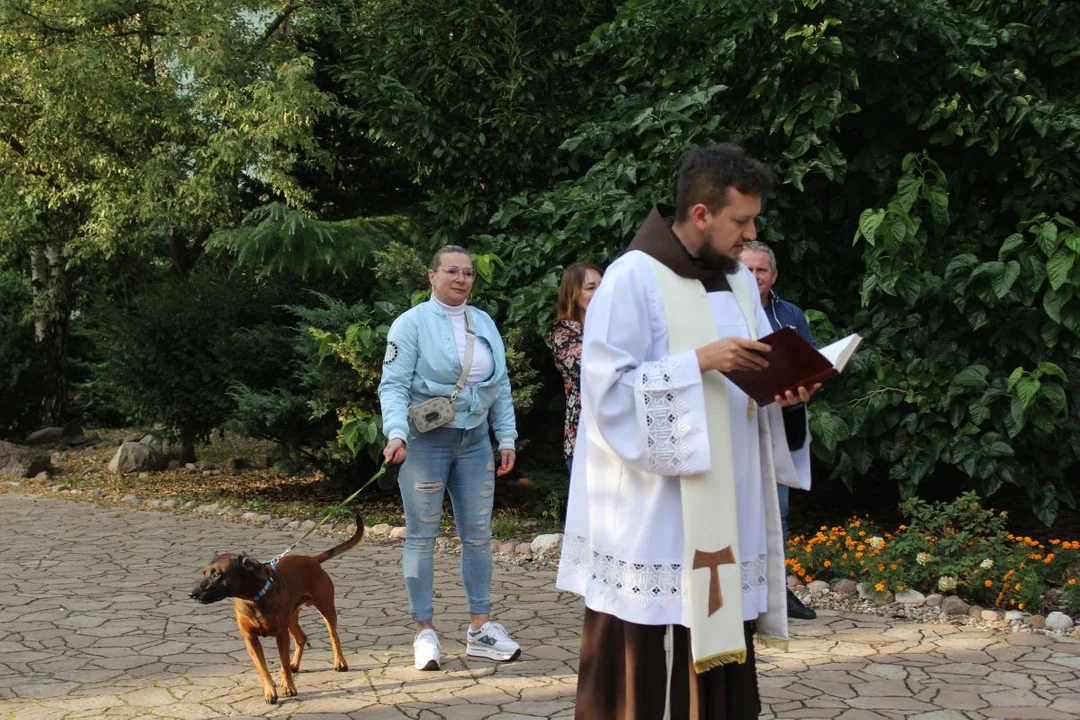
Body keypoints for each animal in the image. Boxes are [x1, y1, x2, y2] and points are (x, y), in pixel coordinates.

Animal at [192, 515, 365, 708]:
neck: (254, 598)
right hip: (291, 617)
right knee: (301, 637)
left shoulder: (281, 634)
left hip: (326, 608)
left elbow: (283, 663)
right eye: (204, 572)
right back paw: (295, 664)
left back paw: (340, 662)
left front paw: (289, 686)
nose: (192, 594)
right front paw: (270, 691)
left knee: (333, 636)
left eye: (217, 574)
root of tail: (312, 560)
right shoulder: (250, 638)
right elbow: (263, 668)